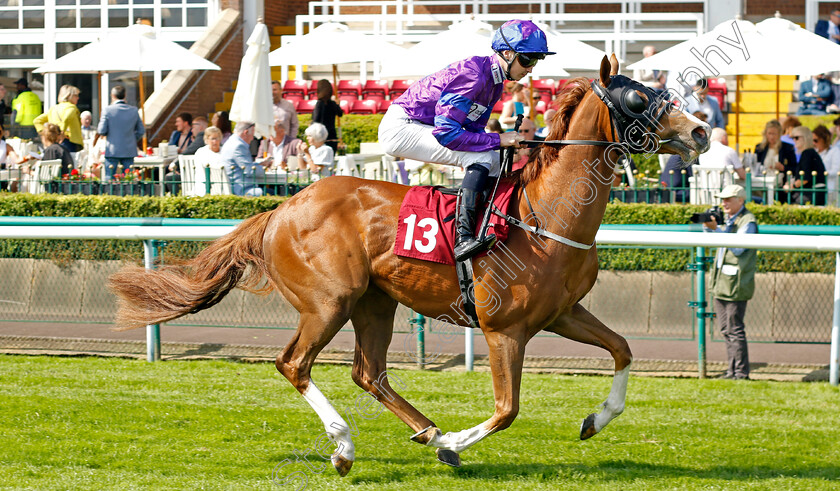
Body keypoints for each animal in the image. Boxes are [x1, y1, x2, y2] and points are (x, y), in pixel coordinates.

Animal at [108, 56, 704, 476]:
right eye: (638, 96)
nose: (699, 131)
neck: (546, 213)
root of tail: (282, 207)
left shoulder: (563, 314)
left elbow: (623, 350)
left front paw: (594, 420)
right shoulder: (504, 328)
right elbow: (507, 408)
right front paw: (457, 442)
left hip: (376, 302)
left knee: (368, 372)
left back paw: (428, 433)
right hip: (330, 302)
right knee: (295, 364)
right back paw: (348, 446)